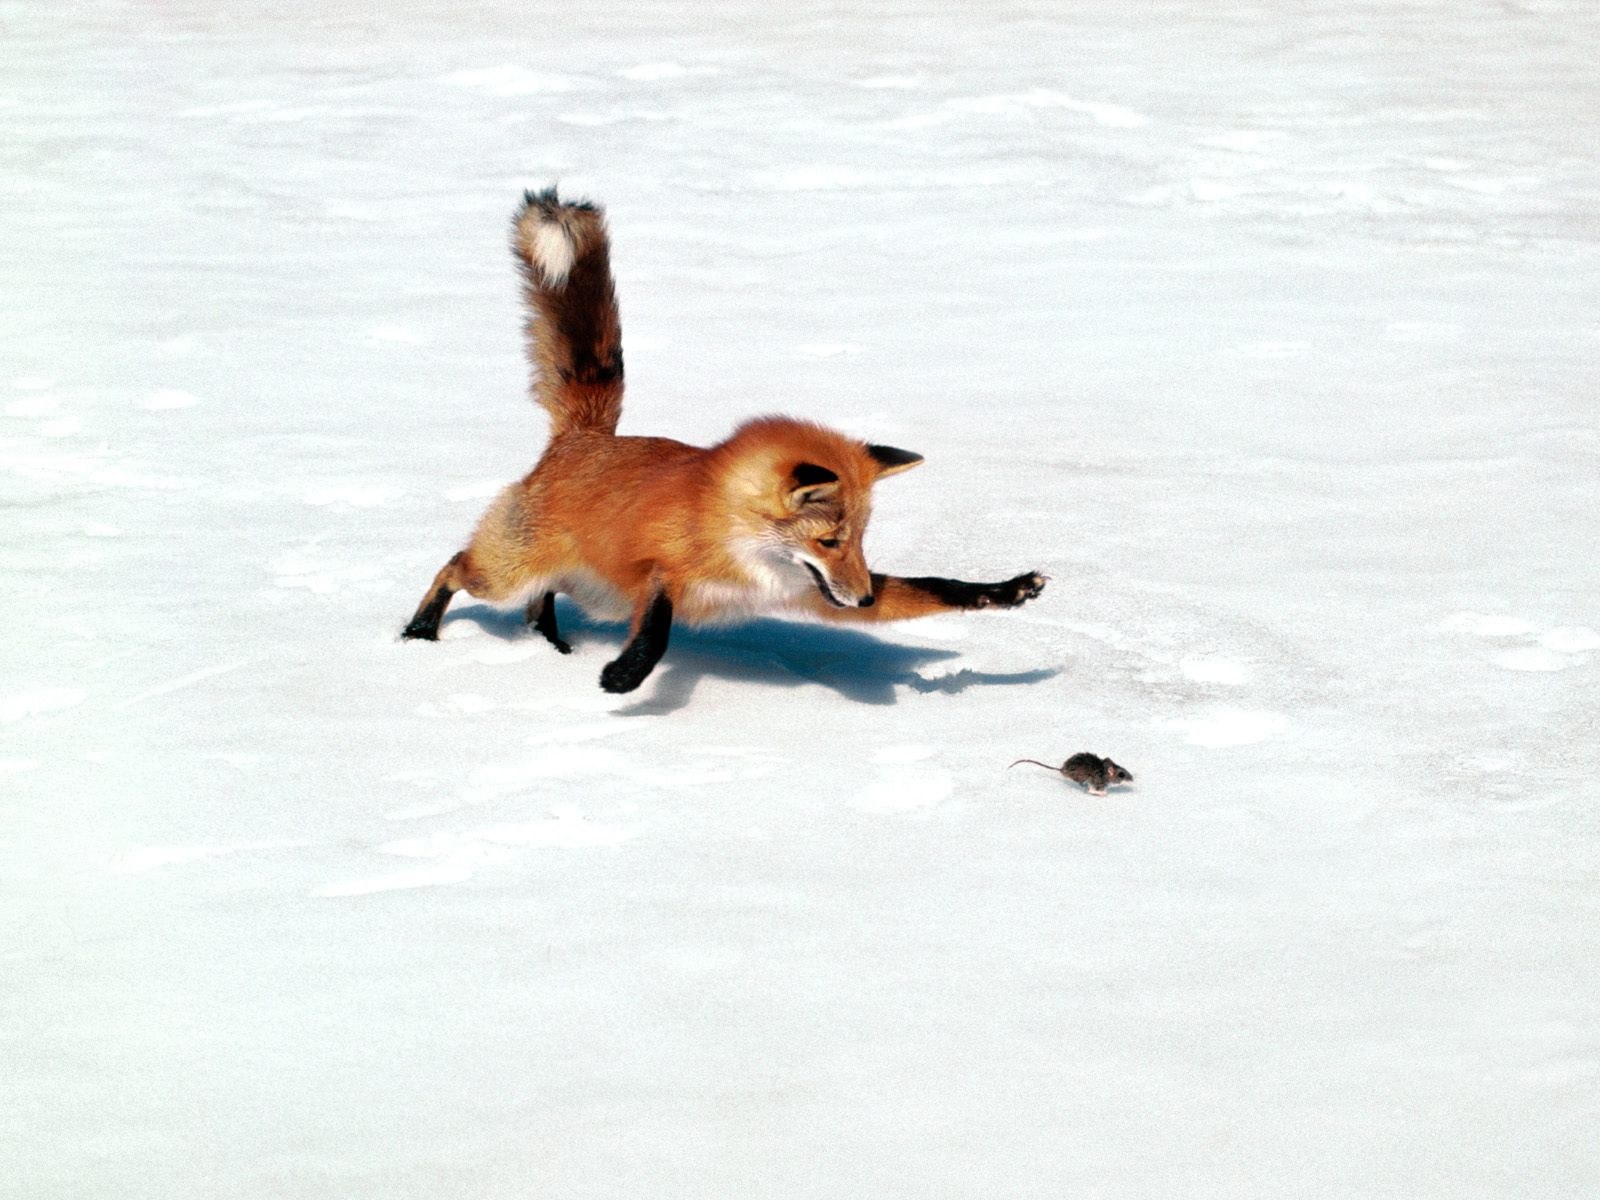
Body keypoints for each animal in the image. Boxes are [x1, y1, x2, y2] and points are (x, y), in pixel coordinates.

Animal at [403, 188, 1049, 694]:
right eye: (830, 540)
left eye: (862, 540)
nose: (865, 599)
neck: (739, 544)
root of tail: (583, 437)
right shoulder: (657, 570)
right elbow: (659, 625)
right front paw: (627, 675)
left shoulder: (812, 593)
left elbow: (939, 587)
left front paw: (1007, 590)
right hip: (508, 573)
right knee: (455, 568)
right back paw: (418, 632)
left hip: (577, 586)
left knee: (538, 602)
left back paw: (550, 645)